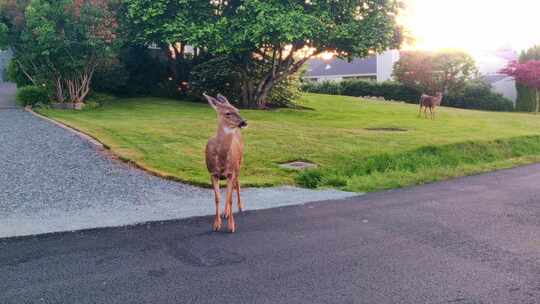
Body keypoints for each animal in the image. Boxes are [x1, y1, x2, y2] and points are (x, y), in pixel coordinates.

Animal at [204, 92, 248, 233]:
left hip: (239, 163)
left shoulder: (231, 172)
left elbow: (229, 199)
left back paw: (240, 207)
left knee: (237, 184)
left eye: (238, 110)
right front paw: (216, 225)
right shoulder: (212, 173)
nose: (244, 122)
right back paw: (225, 213)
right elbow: (217, 198)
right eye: (228, 113)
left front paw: (231, 226)